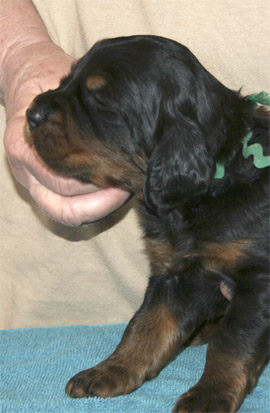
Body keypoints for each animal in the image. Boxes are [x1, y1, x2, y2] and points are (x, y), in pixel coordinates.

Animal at [25, 36, 268, 412]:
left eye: (99, 98)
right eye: (67, 79)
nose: (29, 114)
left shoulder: (256, 280)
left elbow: (232, 343)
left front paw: (208, 396)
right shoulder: (176, 273)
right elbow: (146, 325)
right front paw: (111, 371)